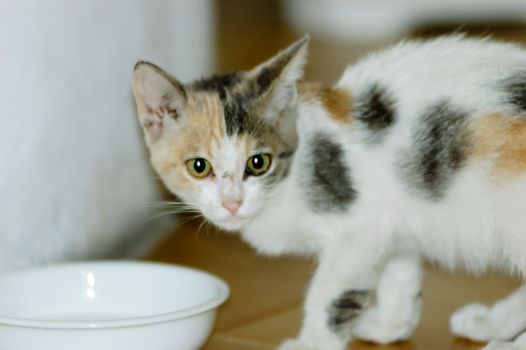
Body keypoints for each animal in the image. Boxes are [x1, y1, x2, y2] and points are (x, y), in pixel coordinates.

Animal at [133, 34, 526, 350]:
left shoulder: (358, 231)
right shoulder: (393, 215)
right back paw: (490, 323)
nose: (233, 203)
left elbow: (329, 294)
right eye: (199, 167)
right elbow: (400, 269)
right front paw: (391, 324)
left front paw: (312, 344)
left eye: (258, 162)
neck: (290, 177)